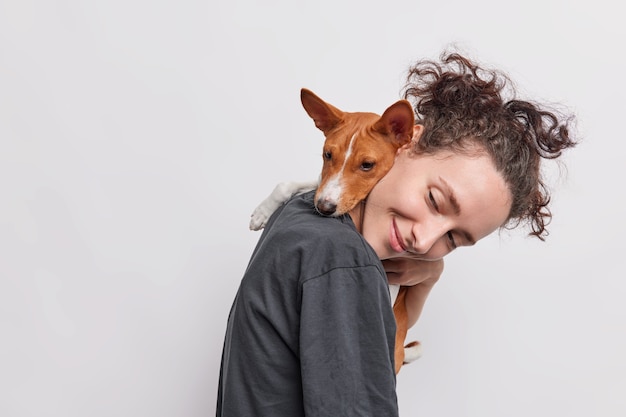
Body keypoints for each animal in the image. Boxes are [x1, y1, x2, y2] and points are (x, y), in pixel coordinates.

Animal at [251, 88, 422, 374]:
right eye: (327, 155)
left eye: (367, 165)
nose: (324, 208)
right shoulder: (322, 184)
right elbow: (288, 184)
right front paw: (262, 212)